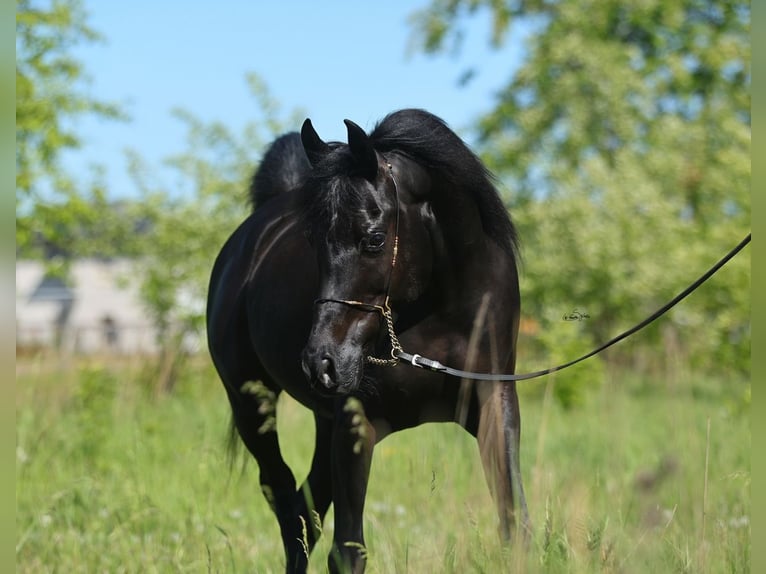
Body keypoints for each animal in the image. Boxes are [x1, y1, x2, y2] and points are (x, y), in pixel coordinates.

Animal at [207, 108, 530, 573]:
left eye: (374, 238)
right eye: (312, 240)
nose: (322, 362)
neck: (438, 309)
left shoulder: (493, 403)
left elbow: (513, 526)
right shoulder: (357, 423)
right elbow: (347, 552)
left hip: (322, 421)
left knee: (304, 510)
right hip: (252, 404)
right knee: (286, 505)